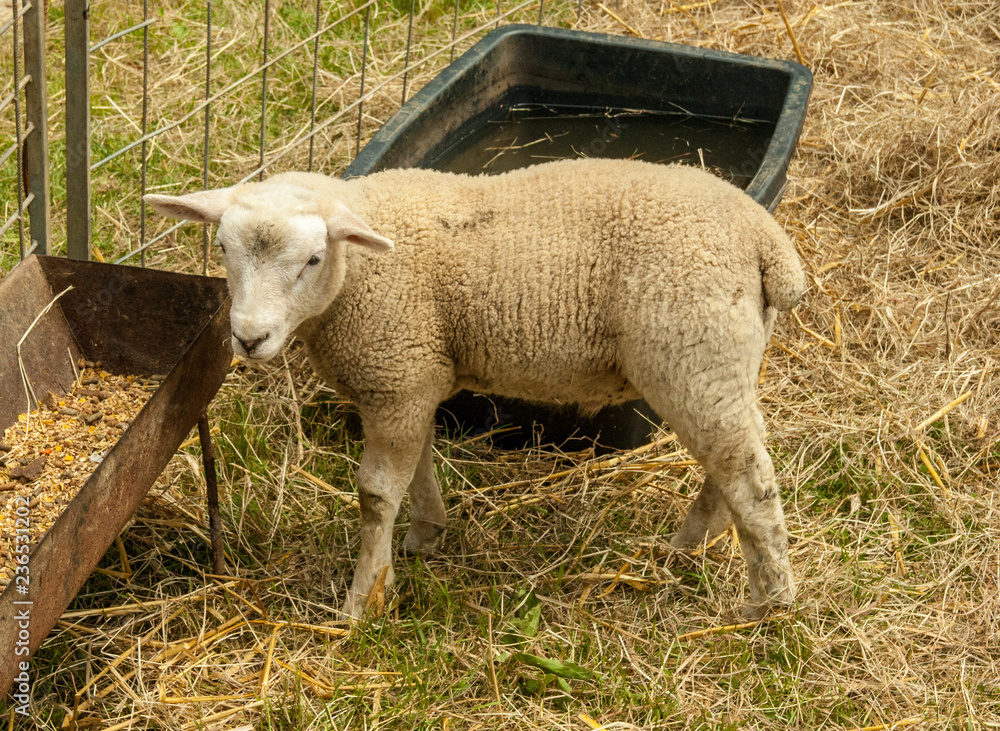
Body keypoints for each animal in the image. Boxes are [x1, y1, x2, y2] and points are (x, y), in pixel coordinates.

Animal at [145, 157, 806, 620]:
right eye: (222, 248)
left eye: (312, 259)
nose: (249, 338)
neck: (359, 273)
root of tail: (766, 240)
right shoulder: (410, 378)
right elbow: (417, 465)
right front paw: (424, 535)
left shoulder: (395, 372)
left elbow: (375, 494)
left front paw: (364, 600)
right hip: (723, 361)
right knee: (735, 458)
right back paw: (692, 544)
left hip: (691, 350)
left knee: (748, 475)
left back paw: (766, 602)